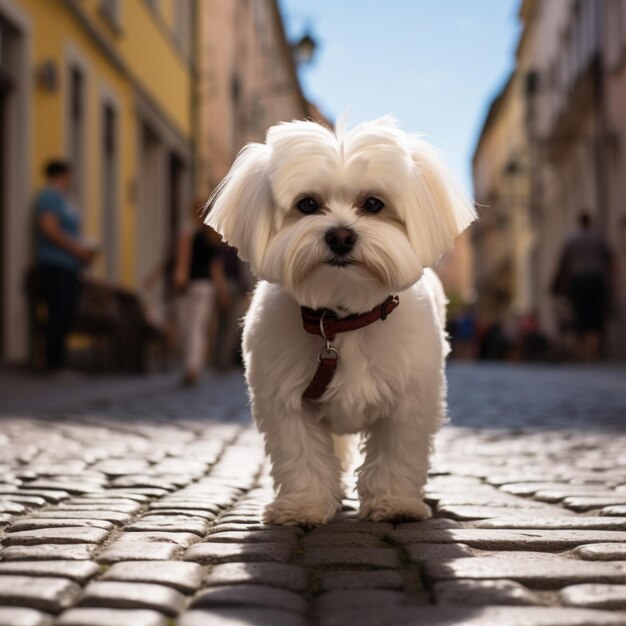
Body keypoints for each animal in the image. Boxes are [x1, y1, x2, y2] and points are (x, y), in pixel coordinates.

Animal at [205, 116, 472, 520]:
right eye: (307, 204)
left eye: (374, 204)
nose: (341, 236)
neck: (343, 318)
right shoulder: (285, 399)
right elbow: (300, 454)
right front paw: (305, 505)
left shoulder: (411, 400)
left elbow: (398, 452)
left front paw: (395, 503)